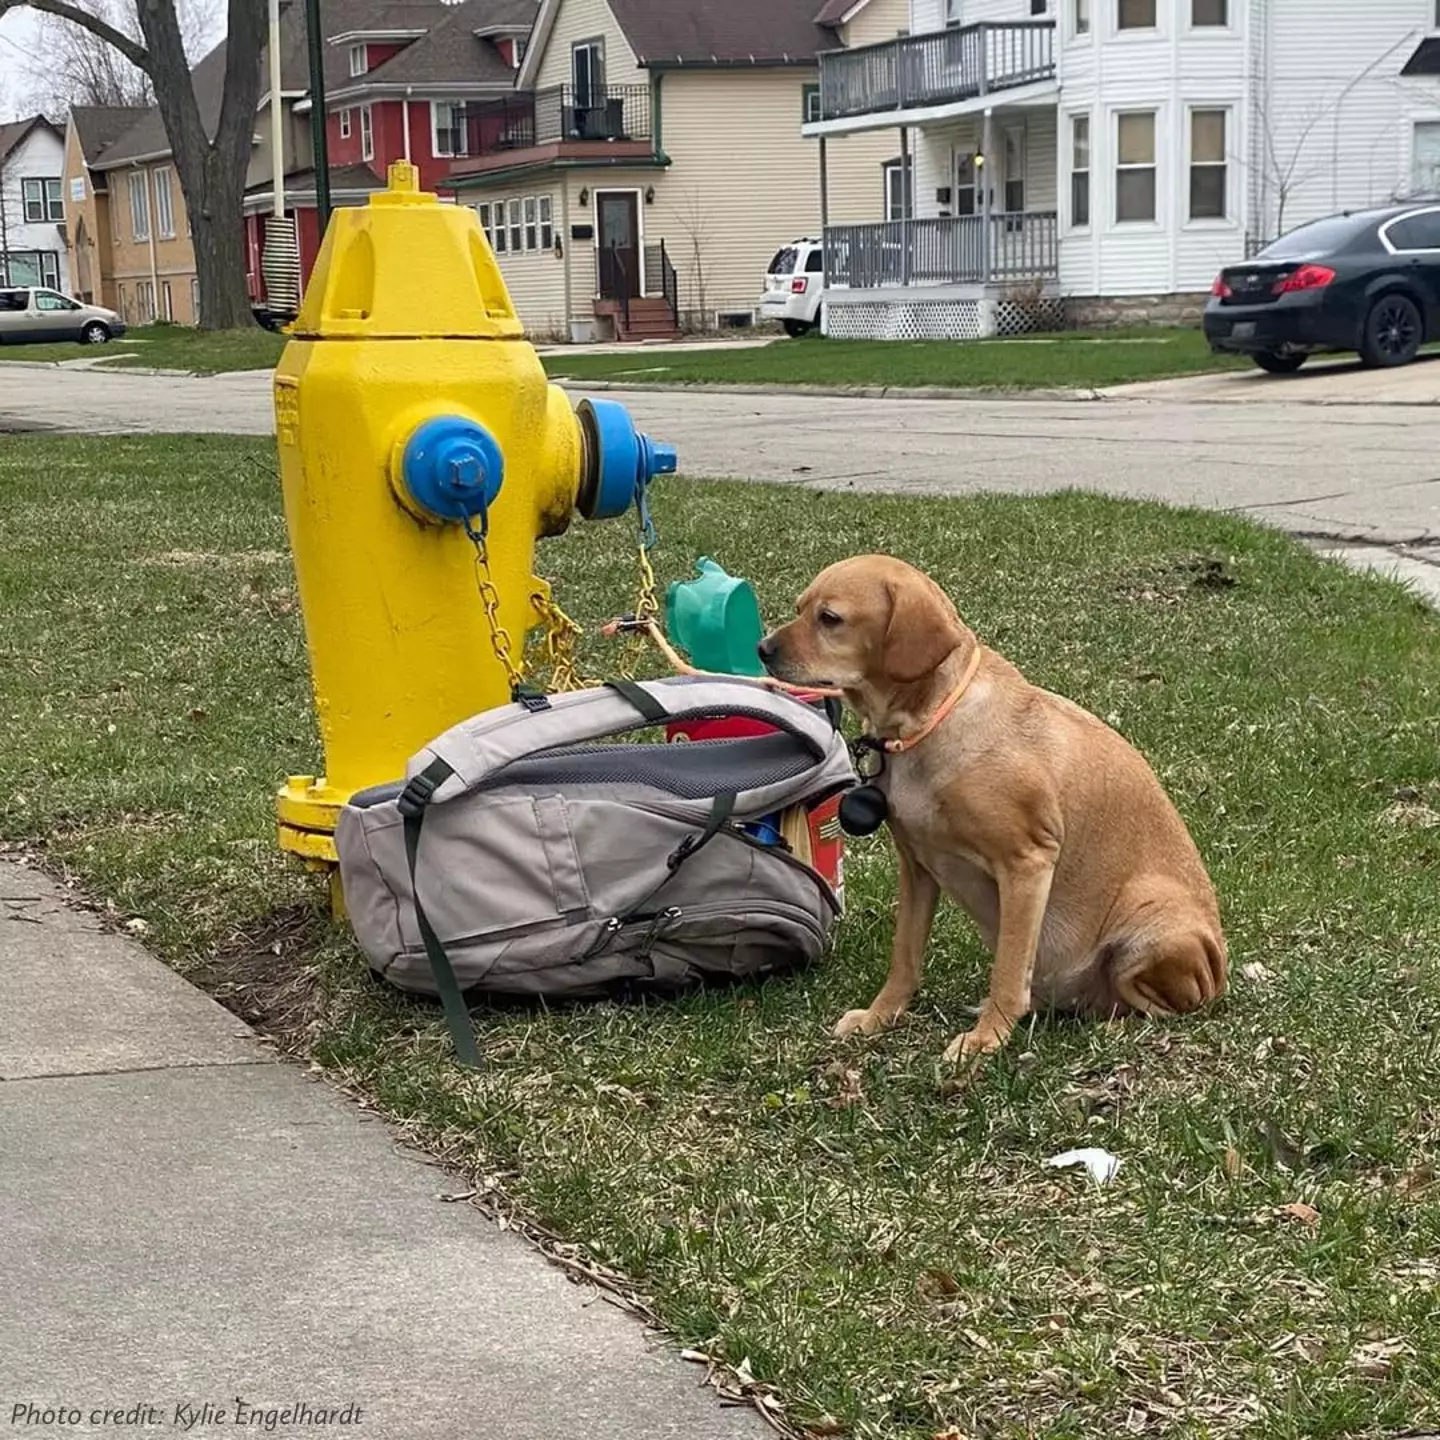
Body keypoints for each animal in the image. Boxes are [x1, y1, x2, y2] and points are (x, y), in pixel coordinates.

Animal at [754, 555, 1226, 1065]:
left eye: (830, 618)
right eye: (800, 608)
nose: (762, 649)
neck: (926, 724)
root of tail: (1218, 970)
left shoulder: (1028, 863)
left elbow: (1008, 971)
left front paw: (987, 1038)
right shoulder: (917, 867)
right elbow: (905, 957)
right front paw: (880, 1016)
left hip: (1150, 924)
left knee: (1155, 1005)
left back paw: (1113, 1027)